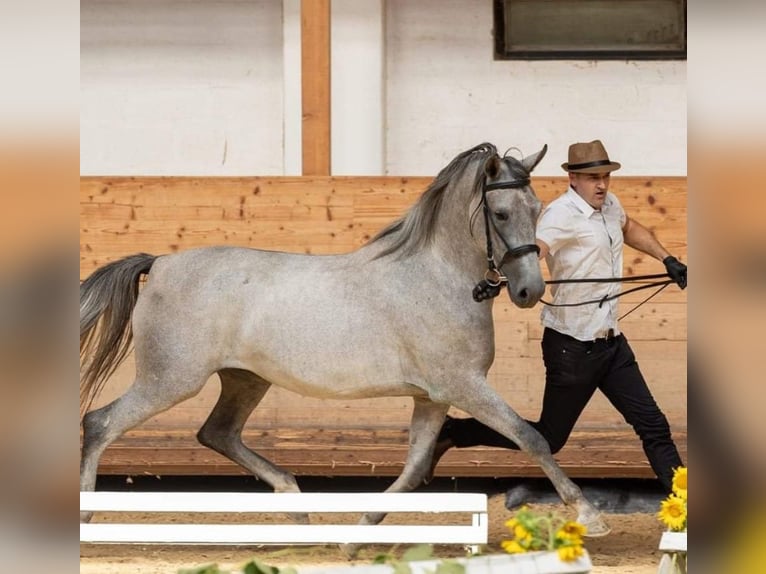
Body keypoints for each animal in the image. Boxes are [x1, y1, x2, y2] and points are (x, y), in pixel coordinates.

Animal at [81, 142, 612, 552]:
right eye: (500, 213)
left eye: (537, 210)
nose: (528, 291)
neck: (438, 278)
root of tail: (161, 263)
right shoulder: (465, 387)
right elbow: (531, 436)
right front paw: (591, 516)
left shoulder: (433, 397)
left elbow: (415, 467)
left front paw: (356, 536)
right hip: (170, 379)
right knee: (100, 424)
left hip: (244, 379)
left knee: (217, 433)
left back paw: (298, 508)